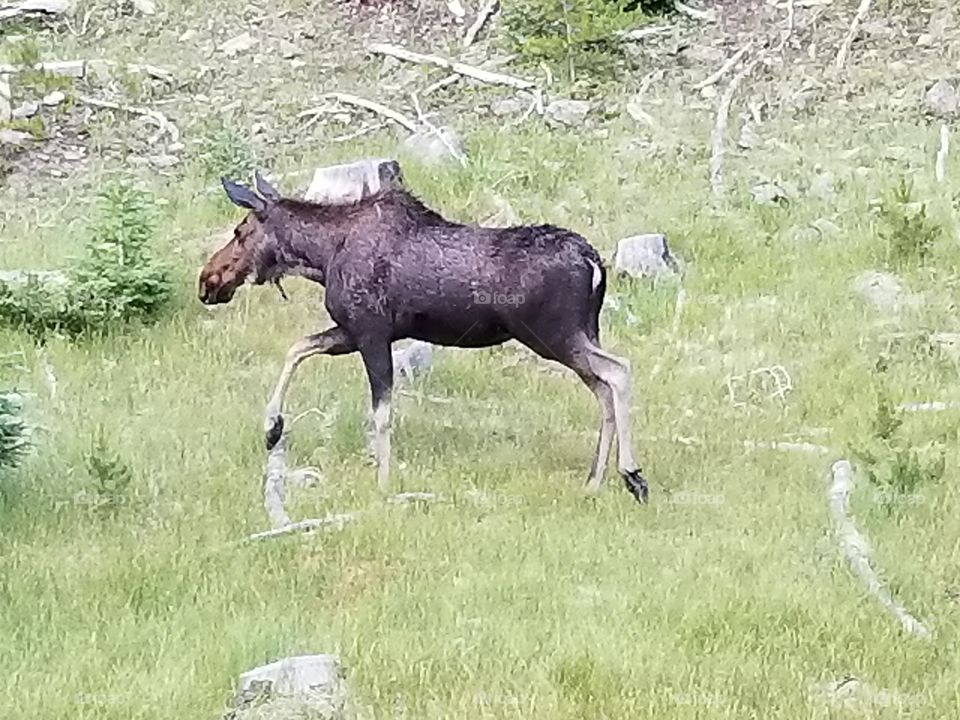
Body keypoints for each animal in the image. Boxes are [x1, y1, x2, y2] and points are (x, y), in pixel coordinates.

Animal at [198, 169, 649, 504]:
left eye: (239, 231)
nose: (208, 281)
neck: (321, 259)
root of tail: (594, 262)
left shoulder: (371, 332)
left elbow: (380, 413)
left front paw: (382, 482)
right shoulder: (353, 331)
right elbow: (298, 348)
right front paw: (272, 427)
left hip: (553, 334)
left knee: (619, 371)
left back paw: (632, 474)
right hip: (579, 333)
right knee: (603, 387)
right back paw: (594, 481)